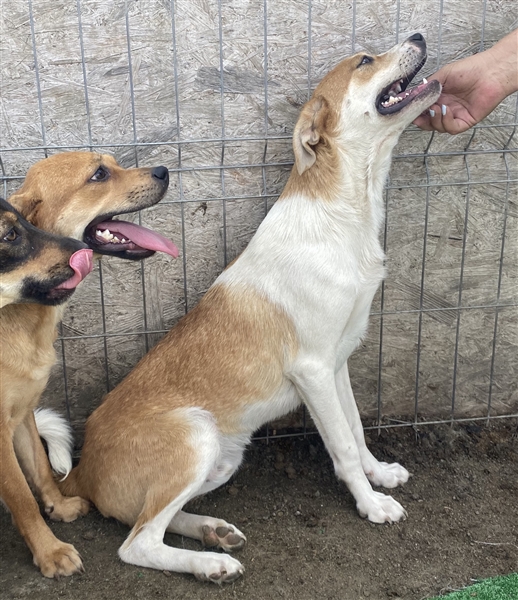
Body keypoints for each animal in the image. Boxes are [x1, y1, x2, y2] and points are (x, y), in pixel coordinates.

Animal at [1, 152, 178, 578]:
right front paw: (49, 552)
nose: (164, 170)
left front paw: (59, 507)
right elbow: (21, 497)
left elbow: (40, 471)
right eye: (99, 174)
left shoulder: (22, 414)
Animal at [58, 35, 441, 582]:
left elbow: (356, 427)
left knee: (147, 520)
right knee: (137, 544)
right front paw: (370, 505)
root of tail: (82, 472)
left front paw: (380, 475)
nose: (418, 38)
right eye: (365, 61)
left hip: (222, 459)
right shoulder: (313, 370)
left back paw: (211, 531)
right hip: (196, 436)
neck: (342, 213)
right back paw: (211, 562)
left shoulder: (338, 362)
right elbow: (343, 447)